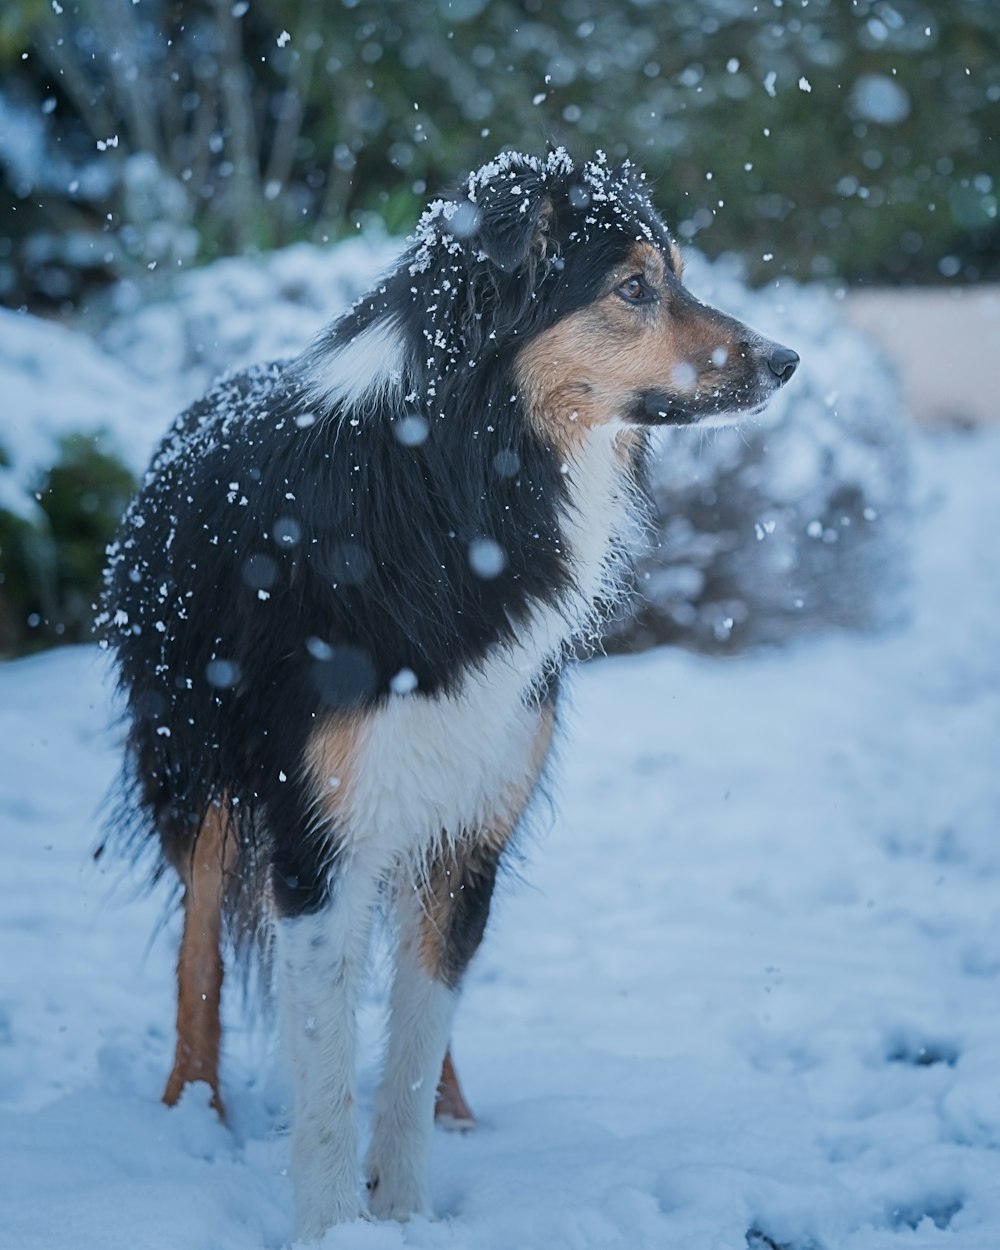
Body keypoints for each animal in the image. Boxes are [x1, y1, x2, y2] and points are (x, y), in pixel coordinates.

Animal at [99, 148, 795, 1240]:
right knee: (198, 946)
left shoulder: (475, 817)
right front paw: (332, 1222)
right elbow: (322, 1063)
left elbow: (417, 1035)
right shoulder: (312, 833)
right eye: (633, 288)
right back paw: (191, 1105)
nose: (785, 361)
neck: (458, 482)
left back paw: (458, 1109)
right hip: (194, 768)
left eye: (676, 276)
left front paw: (410, 1206)